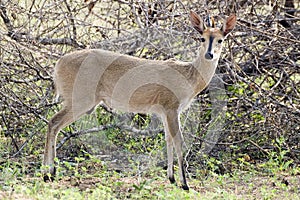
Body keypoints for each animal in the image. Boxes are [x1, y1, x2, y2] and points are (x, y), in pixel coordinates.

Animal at [43, 11, 237, 191]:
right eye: (202, 38)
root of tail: (59, 63)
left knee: (54, 124)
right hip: (80, 101)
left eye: (220, 40)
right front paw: (185, 184)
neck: (189, 74)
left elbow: (168, 139)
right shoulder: (171, 109)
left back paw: (50, 173)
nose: (209, 54)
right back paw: (47, 174)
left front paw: (172, 178)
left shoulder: (165, 113)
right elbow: (179, 141)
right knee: (53, 122)